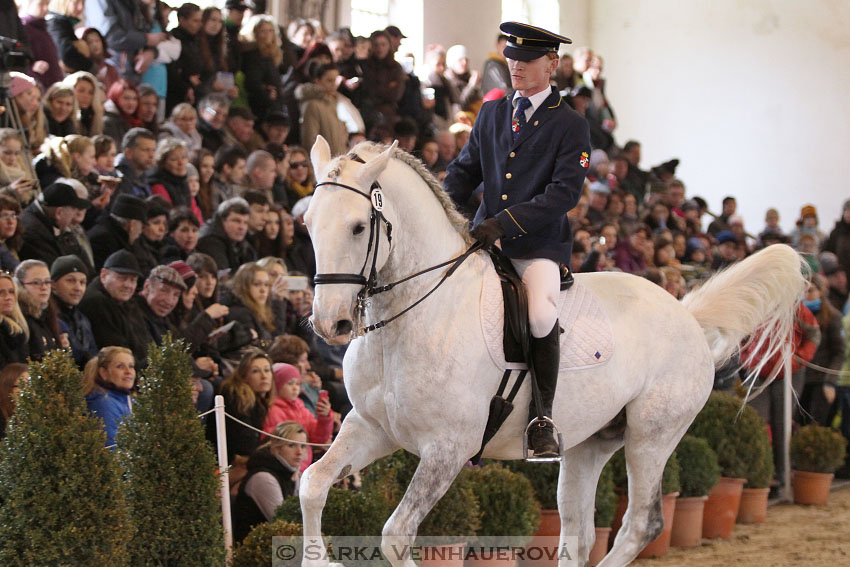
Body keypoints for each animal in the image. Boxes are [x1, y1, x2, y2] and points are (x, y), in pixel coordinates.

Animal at [296, 139, 800, 567]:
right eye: (308, 225)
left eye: (358, 227)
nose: (330, 324)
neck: (411, 318)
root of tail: (686, 314)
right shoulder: (372, 427)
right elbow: (312, 484)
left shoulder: (447, 450)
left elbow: (395, 535)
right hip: (588, 444)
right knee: (578, 532)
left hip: (653, 436)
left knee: (641, 524)